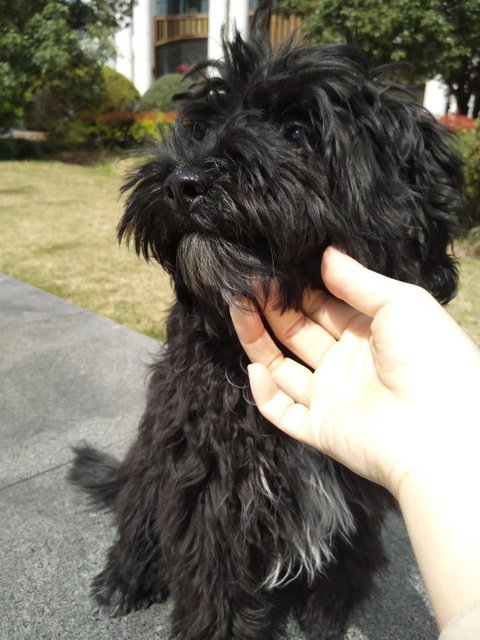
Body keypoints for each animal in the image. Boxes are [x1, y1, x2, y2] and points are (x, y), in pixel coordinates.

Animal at [69, 27, 462, 640]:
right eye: (201, 125)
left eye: (297, 132)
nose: (184, 182)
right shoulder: (211, 488)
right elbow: (216, 593)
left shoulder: (357, 500)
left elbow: (343, 571)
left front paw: (324, 621)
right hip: (151, 464)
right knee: (137, 522)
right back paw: (121, 581)